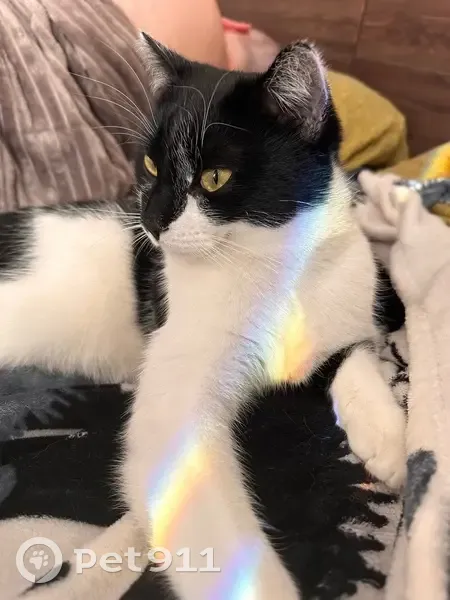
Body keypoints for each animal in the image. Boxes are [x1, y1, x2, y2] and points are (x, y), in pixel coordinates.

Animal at [6, 36, 405, 600]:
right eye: (151, 167)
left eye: (215, 178)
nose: (151, 219)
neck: (267, 267)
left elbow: (349, 354)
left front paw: (389, 435)